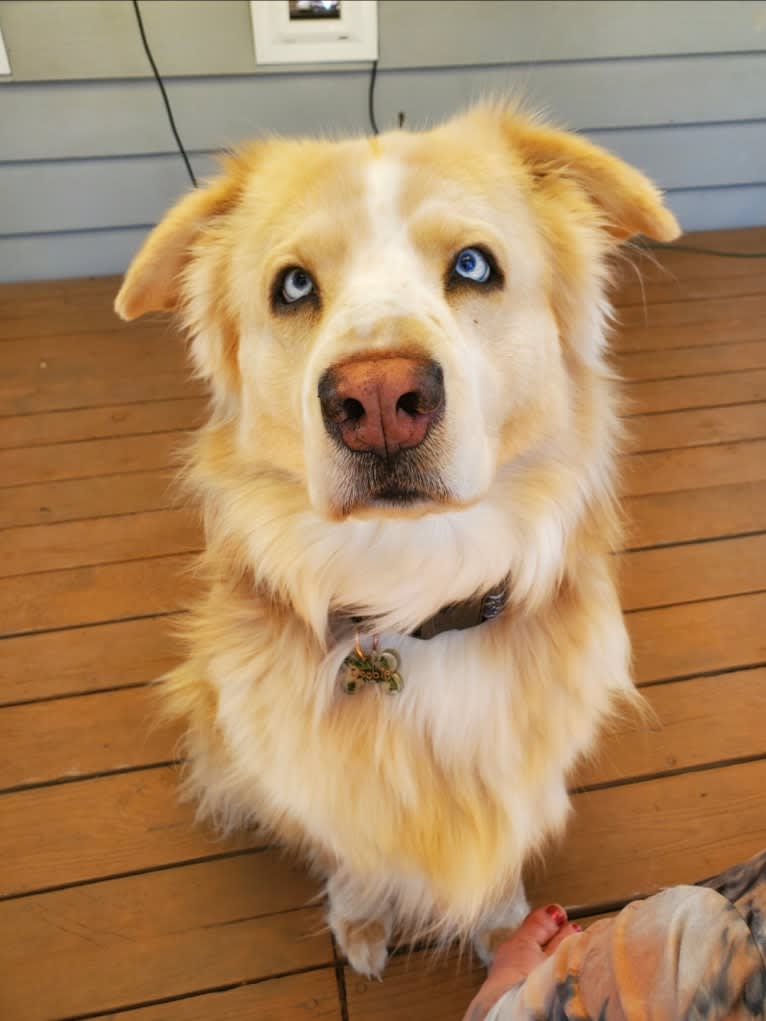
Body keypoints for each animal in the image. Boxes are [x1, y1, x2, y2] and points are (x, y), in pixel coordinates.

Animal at [116, 101, 682, 971]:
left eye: (475, 266)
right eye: (293, 285)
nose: (379, 398)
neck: (413, 589)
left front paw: (507, 932)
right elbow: (349, 849)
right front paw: (359, 917)